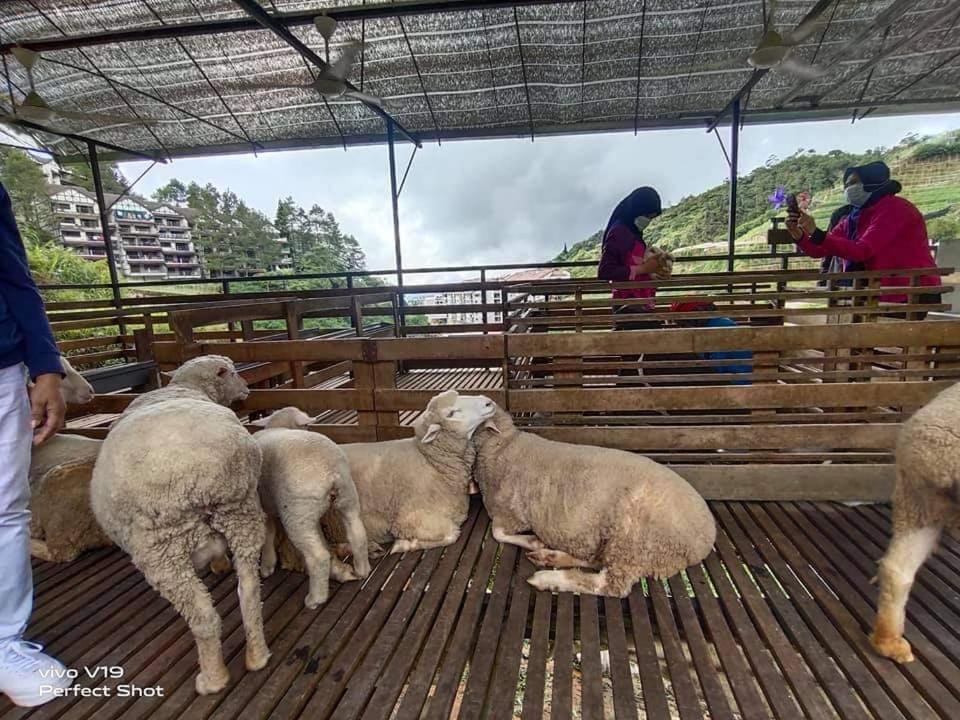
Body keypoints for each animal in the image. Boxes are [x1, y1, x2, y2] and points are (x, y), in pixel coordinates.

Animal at [90, 358, 270, 696]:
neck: (185, 387)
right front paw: (220, 564)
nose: (247, 389)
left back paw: (212, 679)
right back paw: (257, 656)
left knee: (203, 618)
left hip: (162, 553)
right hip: (242, 513)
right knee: (250, 593)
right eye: (233, 372)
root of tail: (205, 476)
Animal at [251, 404, 372, 608]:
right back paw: (362, 570)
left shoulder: (265, 506)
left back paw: (315, 599)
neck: (278, 425)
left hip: (296, 513)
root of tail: (331, 471)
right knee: (357, 535)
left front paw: (266, 566)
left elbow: (268, 534)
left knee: (317, 556)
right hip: (346, 498)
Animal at [474, 400, 720, 596]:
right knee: (596, 559)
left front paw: (531, 541)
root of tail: (705, 541)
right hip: (615, 540)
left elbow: (497, 533)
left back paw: (549, 578)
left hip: (634, 540)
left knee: (610, 584)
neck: (504, 445)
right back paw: (551, 557)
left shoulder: (512, 511)